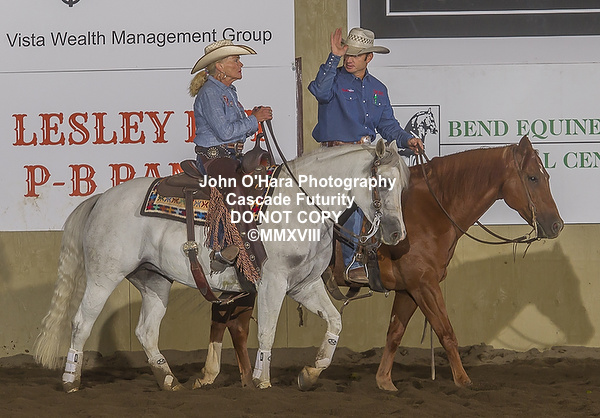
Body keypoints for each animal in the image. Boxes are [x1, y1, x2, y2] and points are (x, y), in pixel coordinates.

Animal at [33, 139, 410, 392]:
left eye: (404, 185)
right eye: (382, 182)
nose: (397, 234)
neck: (301, 204)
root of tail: (101, 199)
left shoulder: (305, 284)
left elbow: (334, 322)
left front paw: (311, 373)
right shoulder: (272, 282)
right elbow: (267, 330)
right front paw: (261, 380)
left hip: (153, 279)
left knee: (145, 331)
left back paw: (168, 380)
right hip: (103, 276)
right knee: (81, 323)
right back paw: (70, 380)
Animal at [374, 135, 563, 391]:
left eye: (547, 177)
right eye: (533, 177)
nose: (557, 225)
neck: (429, 209)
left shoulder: (408, 288)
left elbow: (395, 332)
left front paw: (384, 381)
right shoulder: (425, 284)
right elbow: (446, 332)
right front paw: (462, 380)